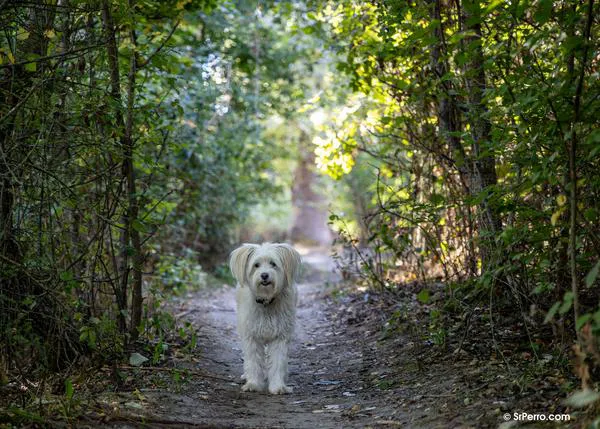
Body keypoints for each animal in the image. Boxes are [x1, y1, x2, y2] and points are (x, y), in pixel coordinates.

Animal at [231, 242, 302, 392]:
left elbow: (278, 362)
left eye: (273, 264)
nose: (264, 275)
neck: (266, 301)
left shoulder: (280, 338)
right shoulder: (251, 337)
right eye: (256, 265)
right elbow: (253, 362)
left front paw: (278, 386)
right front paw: (253, 383)